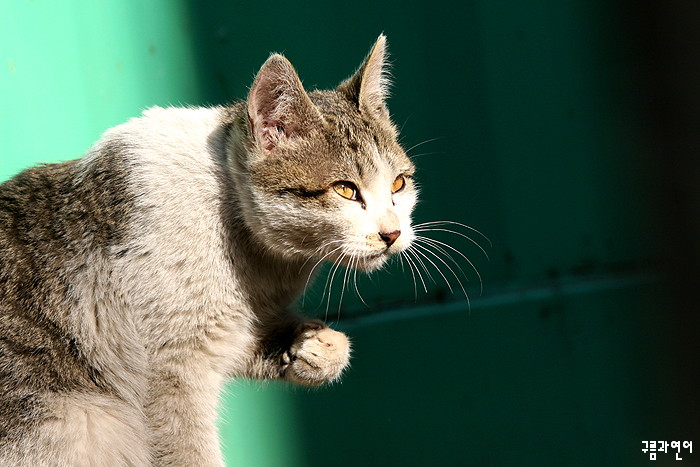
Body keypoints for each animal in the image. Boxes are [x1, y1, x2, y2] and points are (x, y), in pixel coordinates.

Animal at [0, 34, 416, 466]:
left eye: (399, 184)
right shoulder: (169, 373)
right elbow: (187, 449)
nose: (392, 232)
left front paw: (315, 348)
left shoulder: (228, 330)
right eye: (345, 189)